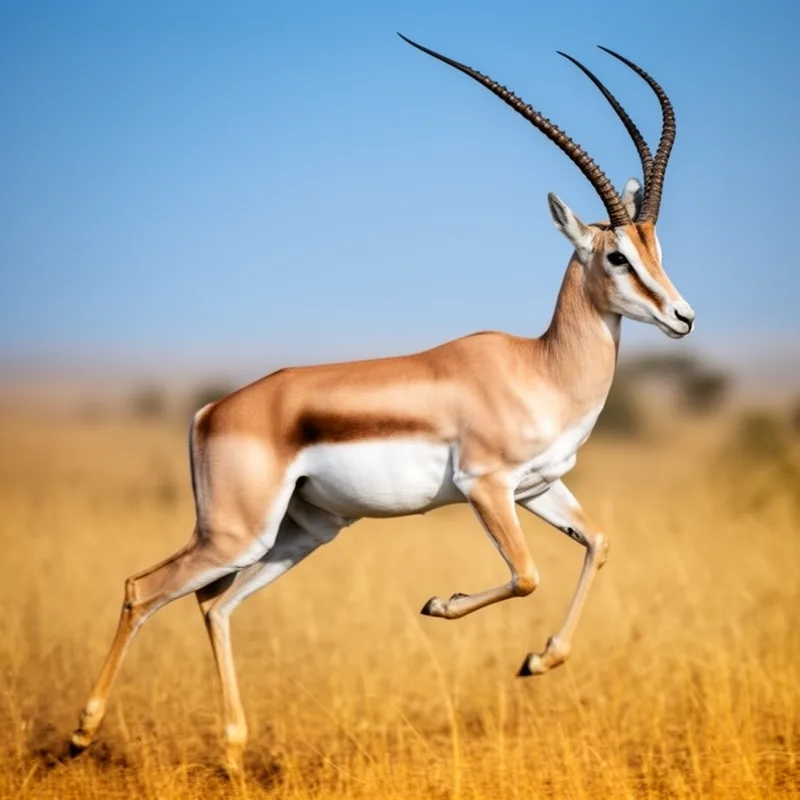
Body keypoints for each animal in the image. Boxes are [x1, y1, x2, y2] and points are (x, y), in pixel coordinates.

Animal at [70, 34, 695, 772]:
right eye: (616, 256)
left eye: (656, 248)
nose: (683, 317)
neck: (538, 367)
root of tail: (211, 412)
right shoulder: (487, 487)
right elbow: (526, 574)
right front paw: (438, 604)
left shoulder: (540, 486)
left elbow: (597, 542)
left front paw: (537, 660)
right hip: (235, 533)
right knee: (143, 590)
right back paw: (82, 732)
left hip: (299, 534)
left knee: (214, 606)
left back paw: (233, 747)